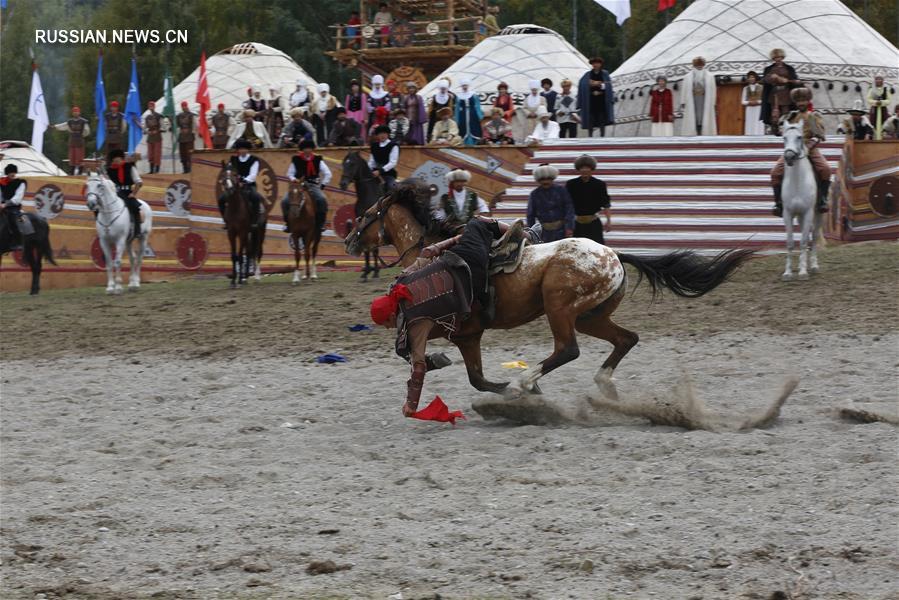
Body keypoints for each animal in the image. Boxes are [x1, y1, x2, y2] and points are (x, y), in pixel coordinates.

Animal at [336, 150, 382, 282]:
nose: (343, 184)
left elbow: (374, 249)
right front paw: (366, 272)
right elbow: (366, 249)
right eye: (343, 163)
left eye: (352, 164)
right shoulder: (361, 224)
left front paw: (375, 272)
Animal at [344, 186, 752, 394]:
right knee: (626, 339)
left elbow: (457, 371)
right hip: (589, 316)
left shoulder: (453, 329)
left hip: (559, 308)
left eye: (365, 215)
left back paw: (527, 381)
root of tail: (613, 254)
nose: (347, 239)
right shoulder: (467, 335)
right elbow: (474, 377)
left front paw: (508, 386)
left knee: (567, 349)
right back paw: (600, 381)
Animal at [780, 122, 824, 284]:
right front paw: (787, 273)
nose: (789, 157)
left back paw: (814, 266)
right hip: (799, 217)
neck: (797, 182)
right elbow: (790, 242)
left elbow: (804, 241)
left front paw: (803, 272)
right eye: (784, 137)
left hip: (819, 215)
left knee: (815, 237)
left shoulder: (808, 212)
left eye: (799, 137)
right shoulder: (788, 214)